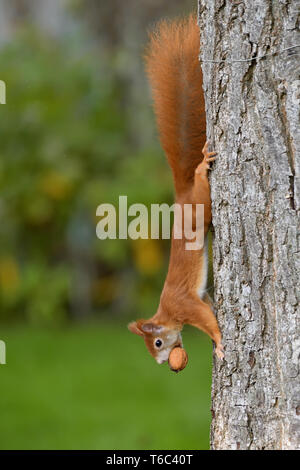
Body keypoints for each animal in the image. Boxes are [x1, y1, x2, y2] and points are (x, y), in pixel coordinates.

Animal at [127, 13, 224, 364]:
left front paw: (219, 343)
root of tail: (182, 195)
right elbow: (210, 305)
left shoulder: (186, 305)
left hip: (202, 204)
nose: (162, 364)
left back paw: (200, 167)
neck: (167, 311)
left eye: (156, 343)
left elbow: (207, 321)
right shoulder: (198, 299)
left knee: (202, 187)